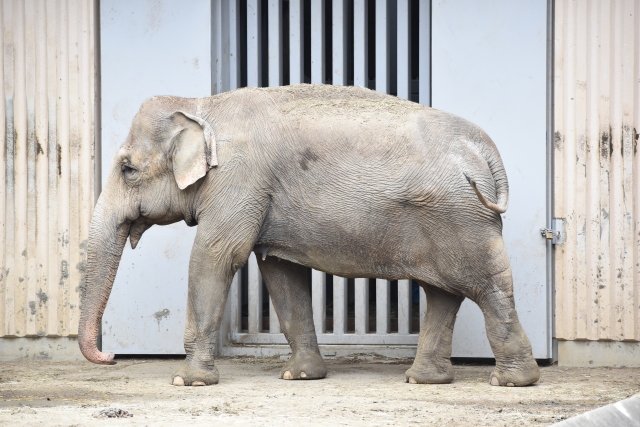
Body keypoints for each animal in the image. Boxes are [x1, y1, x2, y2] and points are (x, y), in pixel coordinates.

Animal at [79, 83, 540, 388]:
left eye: (127, 169)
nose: (110, 356)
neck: (202, 105)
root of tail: (485, 150)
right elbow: (281, 273)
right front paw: (299, 376)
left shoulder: (239, 179)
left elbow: (215, 256)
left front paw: (187, 382)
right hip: (448, 217)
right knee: (443, 292)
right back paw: (425, 380)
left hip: (463, 217)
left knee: (488, 288)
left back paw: (512, 382)